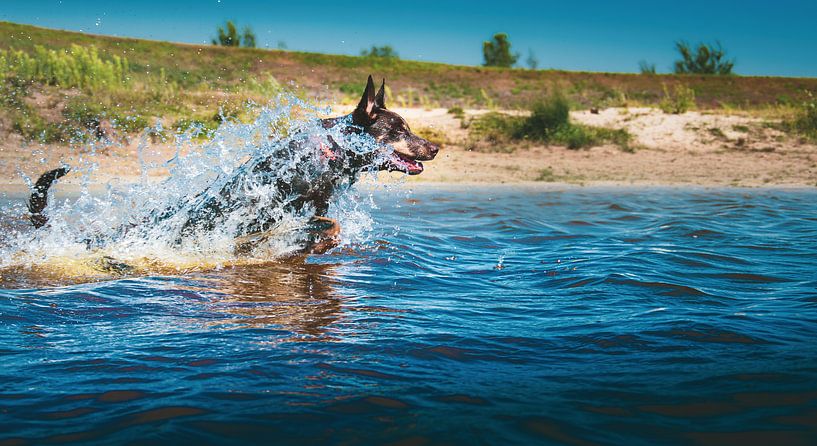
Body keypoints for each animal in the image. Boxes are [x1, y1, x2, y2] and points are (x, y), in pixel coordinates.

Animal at [27, 76, 440, 258]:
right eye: (399, 130)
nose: (436, 148)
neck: (332, 150)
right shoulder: (271, 207)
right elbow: (319, 226)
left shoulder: (315, 206)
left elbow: (327, 224)